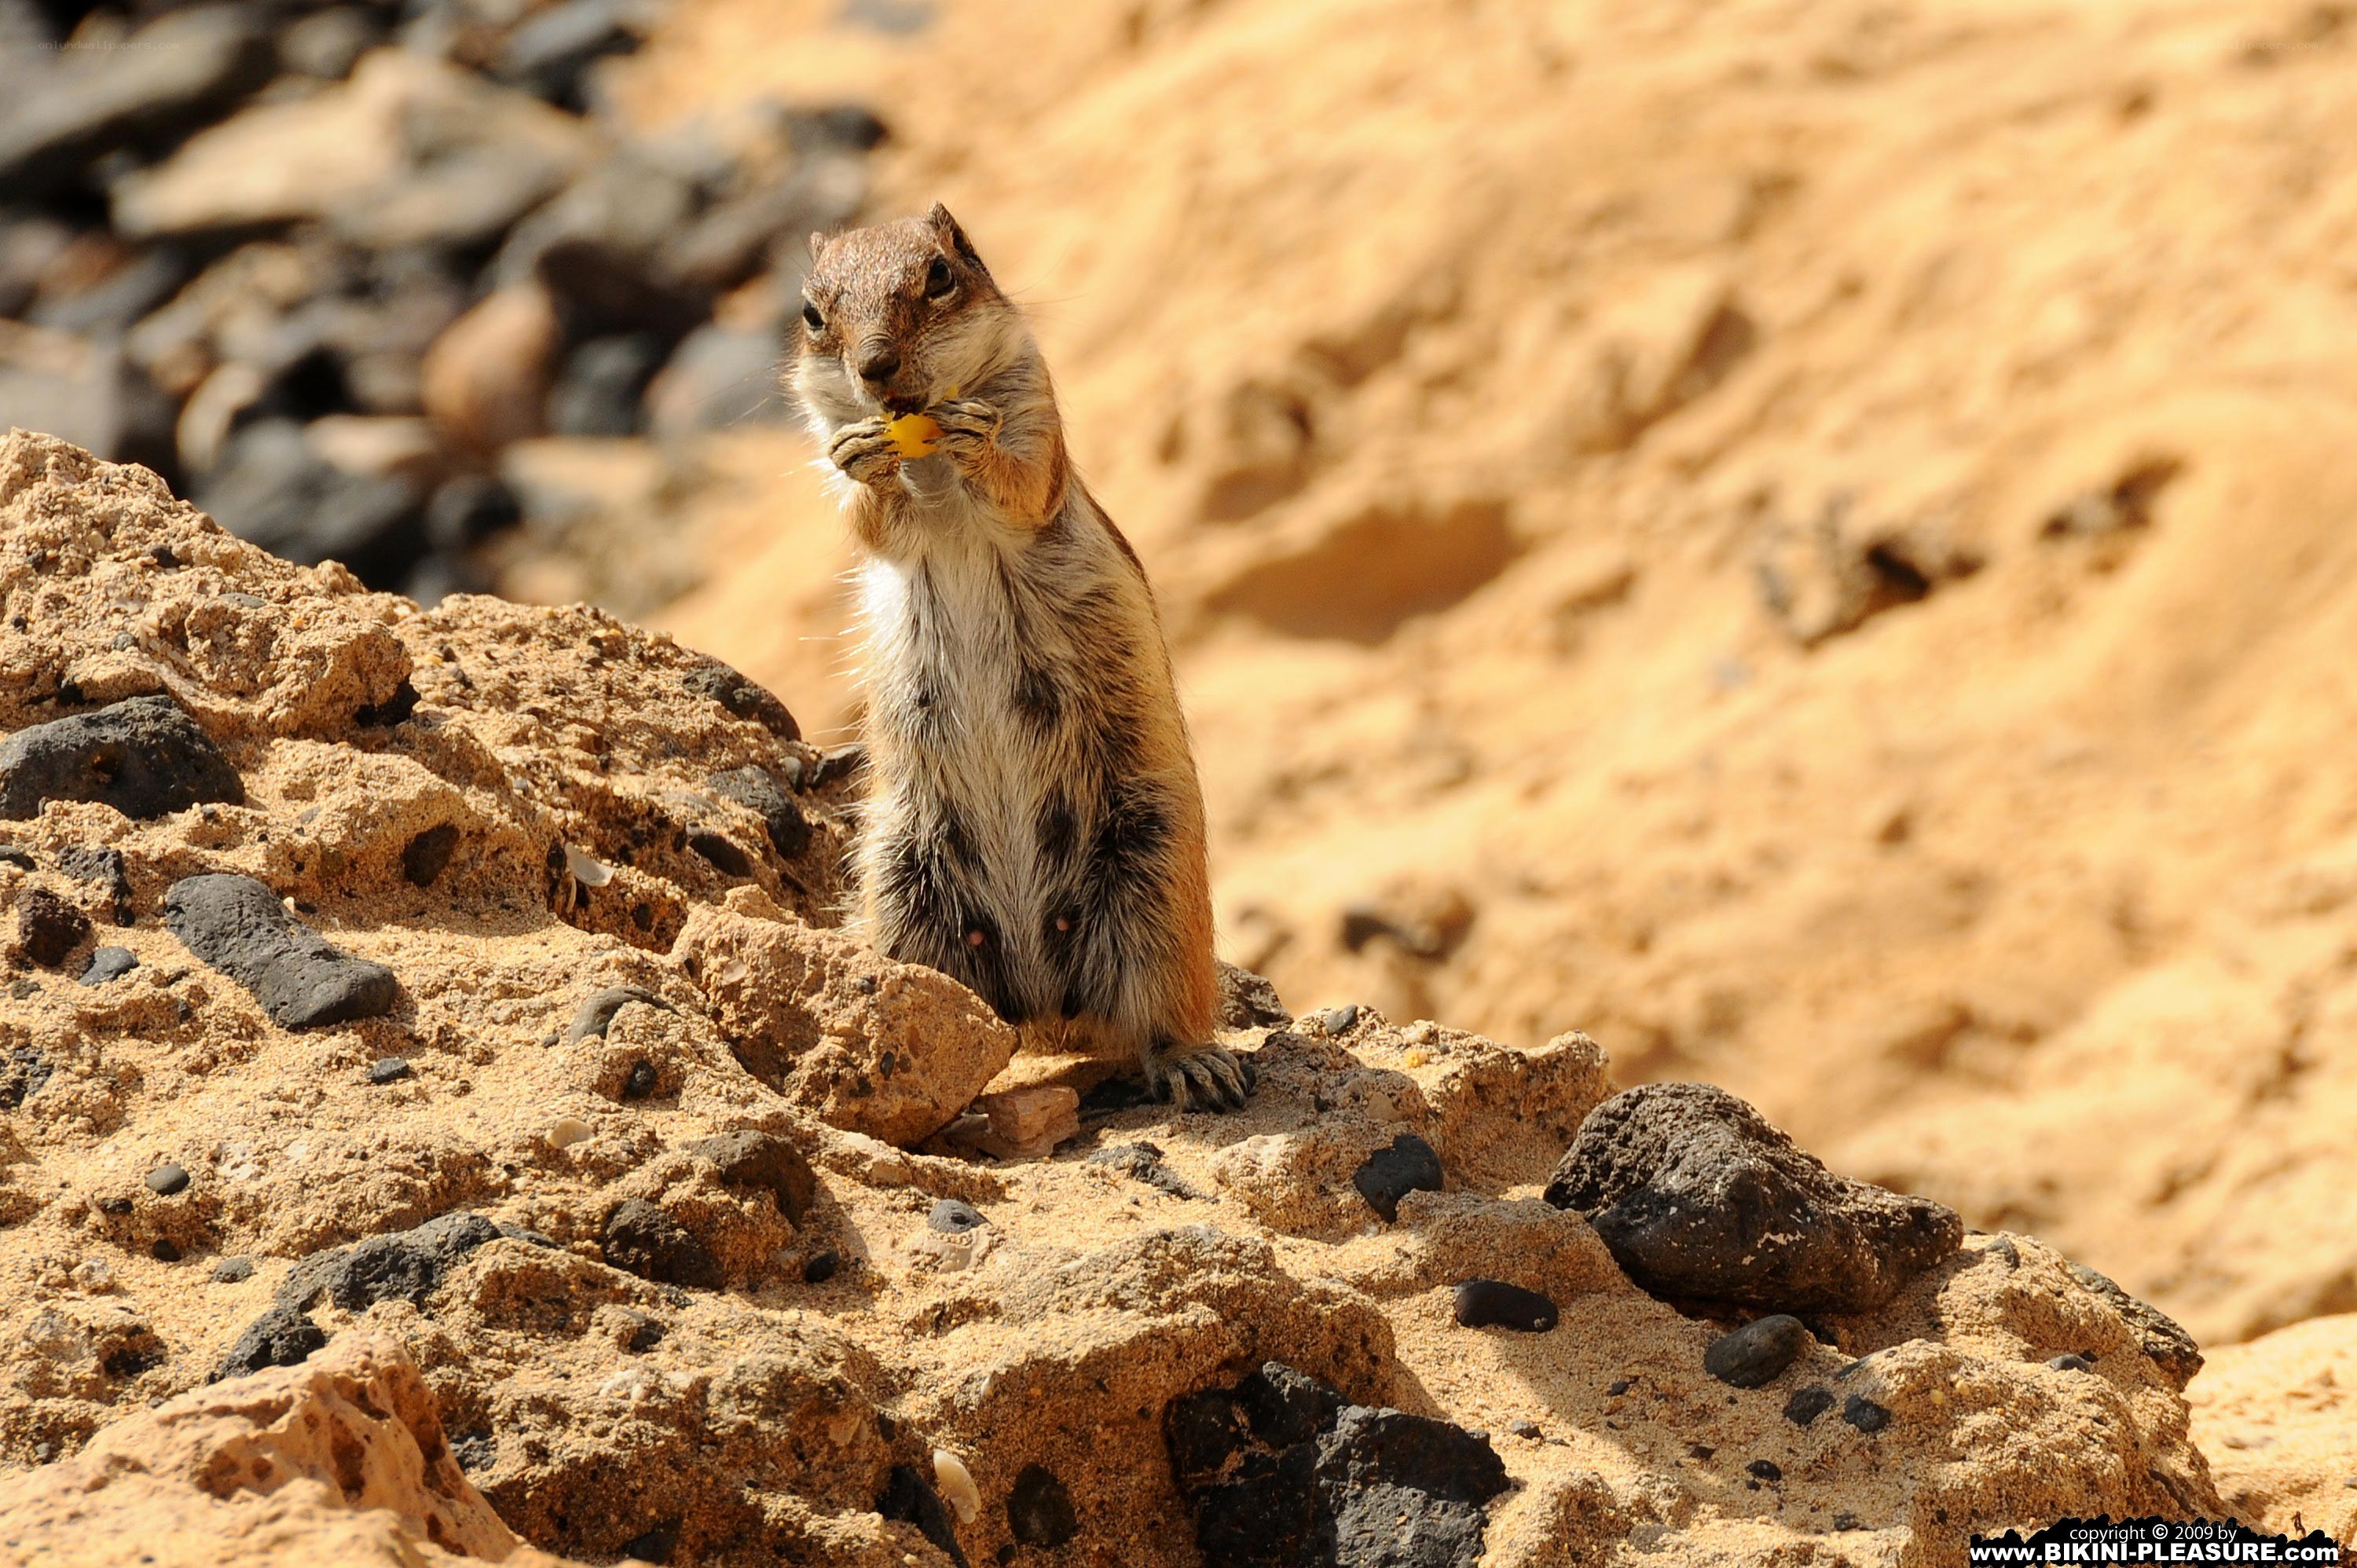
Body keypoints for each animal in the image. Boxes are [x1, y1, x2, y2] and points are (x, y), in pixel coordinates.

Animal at [789, 203, 1252, 1111]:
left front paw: (978, 442)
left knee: (1158, 1013)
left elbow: (1025, 478)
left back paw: (1194, 1063)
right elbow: (867, 518)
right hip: (901, 885)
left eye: (941, 274)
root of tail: (1044, 1006)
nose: (876, 368)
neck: (928, 465)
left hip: (1155, 873)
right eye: (812, 314)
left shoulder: (1037, 414)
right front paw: (867, 462)